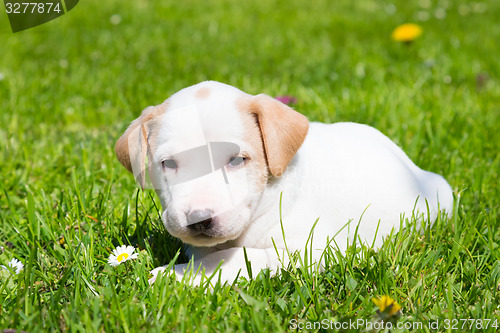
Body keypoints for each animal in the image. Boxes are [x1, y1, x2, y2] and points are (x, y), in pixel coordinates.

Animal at [114, 81, 454, 284]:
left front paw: (179, 277)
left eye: (236, 160)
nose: (199, 220)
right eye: (169, 164)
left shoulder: (314, 249)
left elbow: (237, 257)